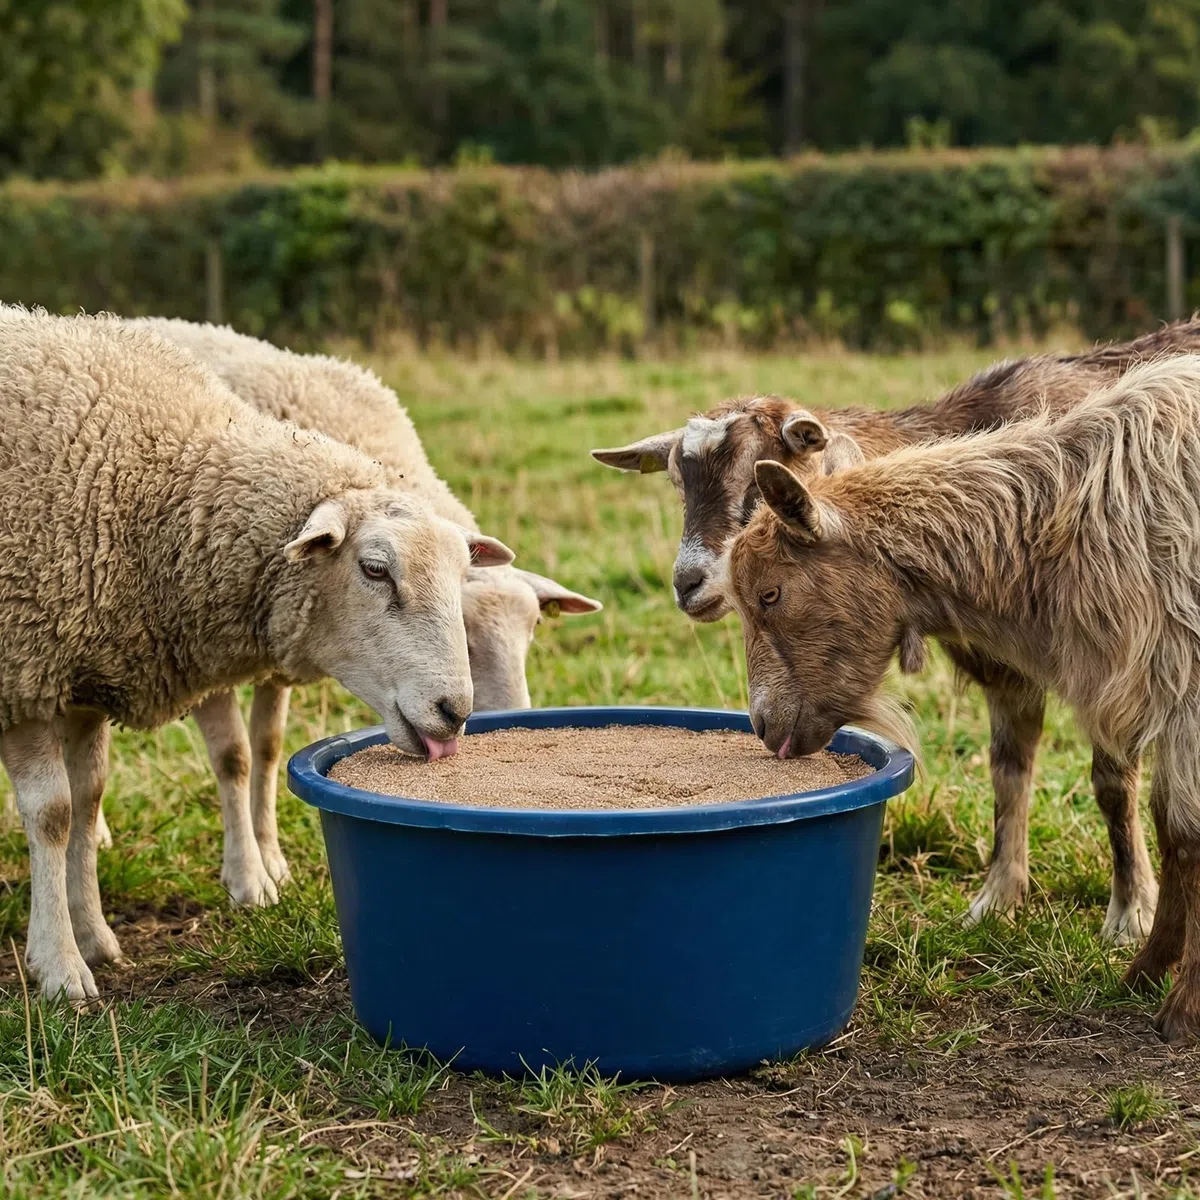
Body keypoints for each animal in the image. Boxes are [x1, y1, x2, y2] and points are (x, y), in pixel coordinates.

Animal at [0, 306, 513, 1001]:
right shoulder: (27, 668)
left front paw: (93, 936)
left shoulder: (82, 674)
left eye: (463, 575)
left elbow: (88, 798)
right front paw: (59, 965)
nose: (456, 711)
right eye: (375, 569)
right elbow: (54, 814)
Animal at [117, 317, 600, 904]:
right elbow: (234, 757)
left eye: (532, 631)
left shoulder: (280, 634)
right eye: (463, 631)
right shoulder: (207, 640)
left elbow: (268, 747)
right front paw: (247, 878)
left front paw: (272, 859)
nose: (511, 718)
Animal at [591, 319, 1200, 945]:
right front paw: (997, 900)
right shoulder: (1005, 671)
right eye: (677, 483)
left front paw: (1130, 912)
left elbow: (1111, 784)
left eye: (757, 480)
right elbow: (1007, 773)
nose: (686, 583)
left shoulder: (1118, 663)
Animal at [724, 353, 1200, 1042]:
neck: (1060, 516)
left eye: (770, 594)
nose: (762, 724)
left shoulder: (1183, 688)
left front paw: (1182, 1006)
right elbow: (1173, 831)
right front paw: (1146, 972)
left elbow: (1185, 832)